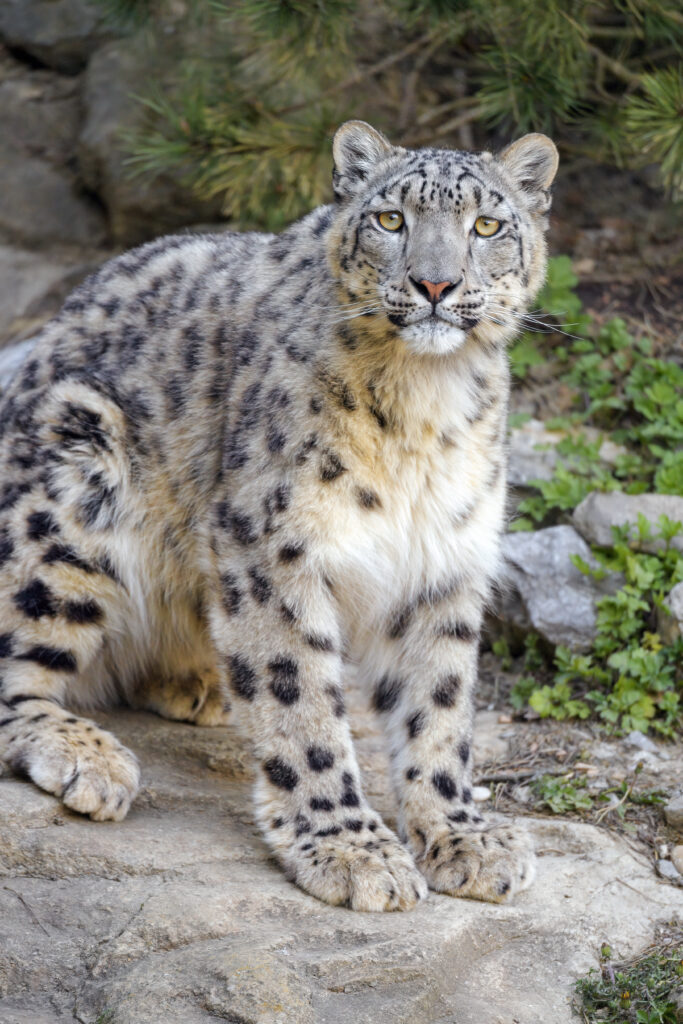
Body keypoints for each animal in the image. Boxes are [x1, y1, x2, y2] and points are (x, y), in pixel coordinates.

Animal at [0, 120, 558, 912]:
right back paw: (89, 759)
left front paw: (463, 835)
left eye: (487, 226)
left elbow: (440, 703)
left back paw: (196, 686)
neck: (426, 404)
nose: (435, 285)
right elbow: (299, 696)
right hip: (72, 480)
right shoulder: (272, 545)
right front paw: (352, 850)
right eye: (392, 220)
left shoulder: (444, 559)